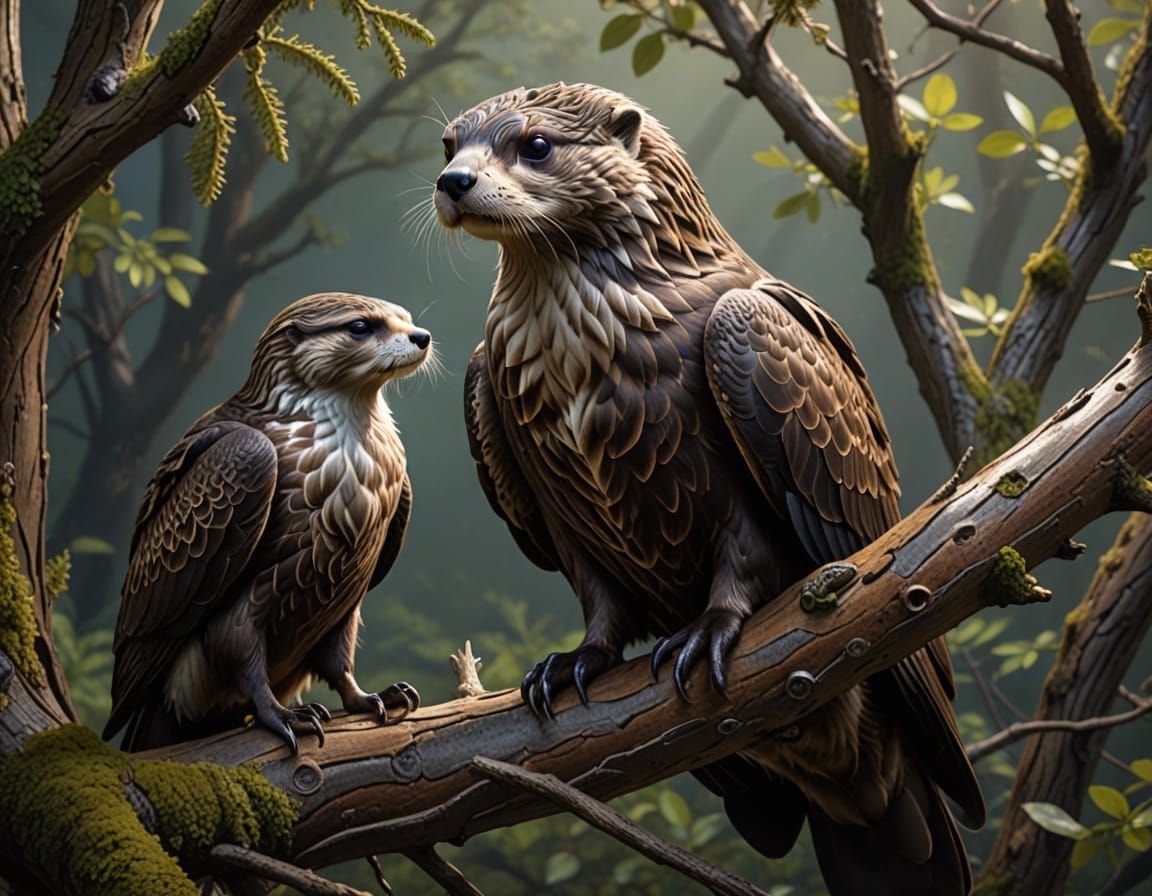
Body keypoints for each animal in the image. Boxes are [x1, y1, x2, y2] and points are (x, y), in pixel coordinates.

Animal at [104, 293, 430, 752]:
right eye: (361, 327)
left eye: (406, 318)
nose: (422, 337)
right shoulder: (249, 460)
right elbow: (242, 653)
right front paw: (277, 711)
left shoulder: (346, 601)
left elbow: (337, 658)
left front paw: (362, 696)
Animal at [436, 83, 983, 894]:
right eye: (449, 146)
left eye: (534, 146)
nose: (453, 182)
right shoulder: (568, 528)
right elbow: (600, 602)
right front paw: (578, 657)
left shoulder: (737, 487)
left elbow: (742, 561)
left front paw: (713, 625)